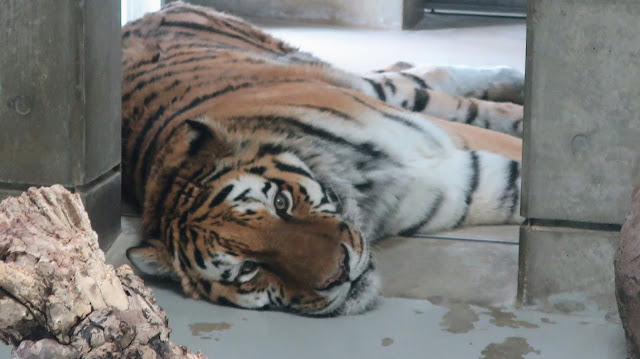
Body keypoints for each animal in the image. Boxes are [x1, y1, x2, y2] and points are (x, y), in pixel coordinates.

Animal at [124, 2, 524, 318]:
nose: (340, 274)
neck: (364, 192)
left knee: (429, 84)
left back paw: (517, 88)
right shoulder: (462, 184)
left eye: (281, 203)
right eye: (249, 269)